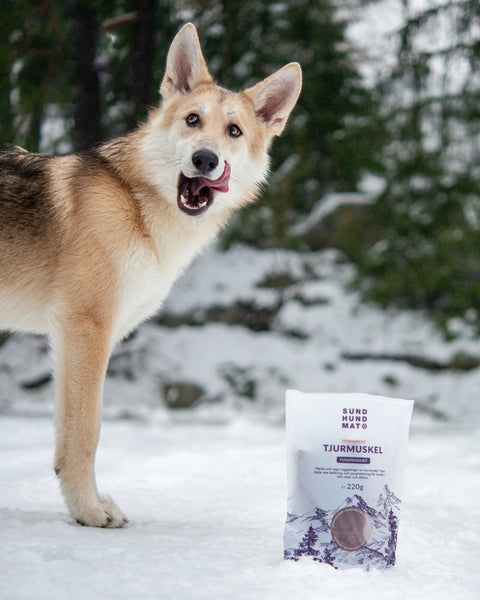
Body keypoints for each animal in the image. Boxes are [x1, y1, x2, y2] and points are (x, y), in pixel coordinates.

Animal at [0, 22, 300, 524]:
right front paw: (88, 512)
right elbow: (87, 434)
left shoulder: (73, 338)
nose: (205, 160)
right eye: (193, 120)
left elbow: (68, 438)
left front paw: (87, 504)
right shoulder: (86, 329)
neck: (137, 204)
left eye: (234, 131)